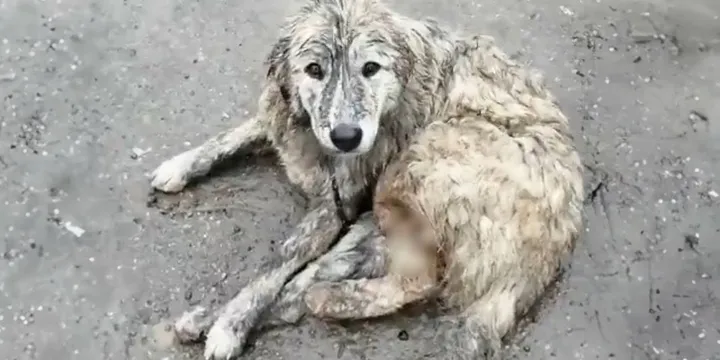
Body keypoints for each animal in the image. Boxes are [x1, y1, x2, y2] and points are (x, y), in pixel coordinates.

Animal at [150, 0, 584, 358]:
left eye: (370, 68)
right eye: (314, 70)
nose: (347, 137)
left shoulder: (333, 207)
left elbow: (278, 260)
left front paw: (233, 323)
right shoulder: (285, 125)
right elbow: (232, 135)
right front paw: (181, 164)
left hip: (420, 157)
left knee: (418, 279)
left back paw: (325, 300)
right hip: (379, 220)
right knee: (318, 278)